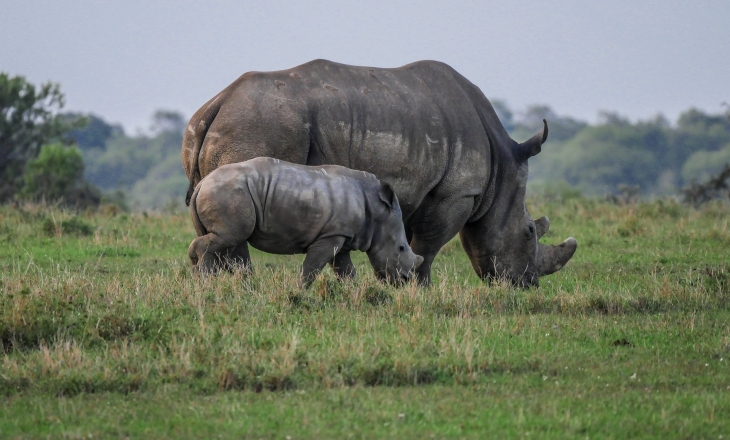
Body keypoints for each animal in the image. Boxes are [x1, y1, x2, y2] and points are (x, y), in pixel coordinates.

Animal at [188, 157, 424, 287]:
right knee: (230, 237)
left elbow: (346, 272)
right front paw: (298, 292)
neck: (377, 210)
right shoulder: (331, 235)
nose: (404, 281)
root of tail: (201, 183)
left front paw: (357, 295)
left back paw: (207, 280)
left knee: (229, 243)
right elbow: (312, 267)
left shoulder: (341, 236)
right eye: (401, 248)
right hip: (228, 193)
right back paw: (206, 283)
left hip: (225, 192)